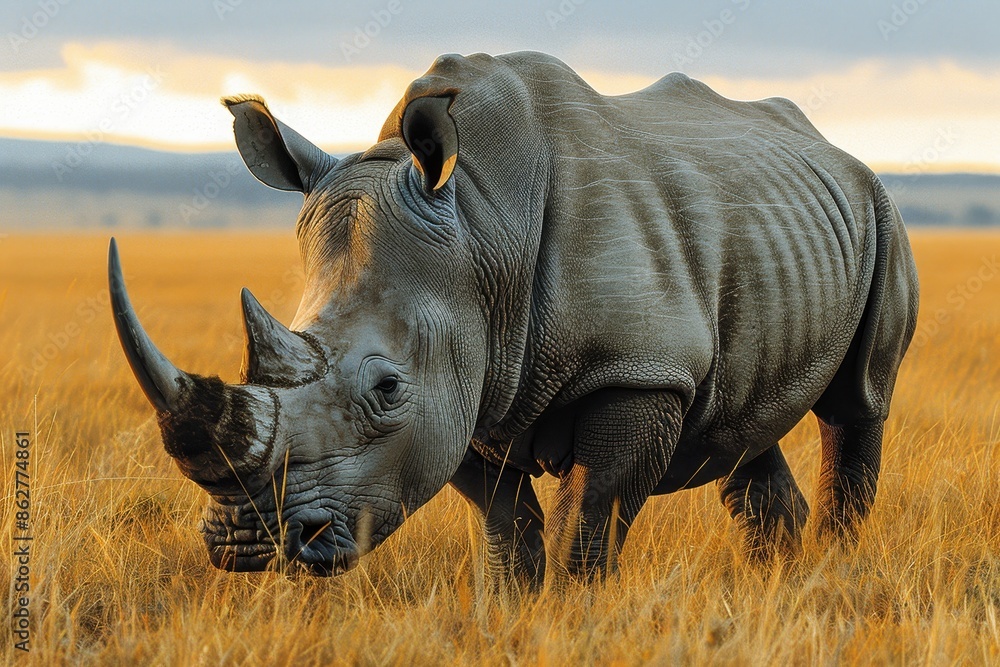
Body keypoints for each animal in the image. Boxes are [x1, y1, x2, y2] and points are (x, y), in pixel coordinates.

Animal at [109, 51, 919, 584]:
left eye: (386, 389)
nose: (246, 544)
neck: (480, 222)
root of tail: (830, 144)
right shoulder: (468, 384)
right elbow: (507, 527)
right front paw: (509, 611)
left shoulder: (638, 369)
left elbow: (585, 520)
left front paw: (570, 616)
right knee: (742, 425)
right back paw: (775, 582)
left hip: (881, 208)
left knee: (857, 404)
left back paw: (833, 571)